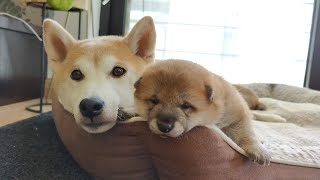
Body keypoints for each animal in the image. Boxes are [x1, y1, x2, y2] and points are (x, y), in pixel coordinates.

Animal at [134, 59, 272, 165]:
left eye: (185, 105)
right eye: (154, 100)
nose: (164, 126)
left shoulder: (239, 116)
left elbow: (247, 133)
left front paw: (258, 150)